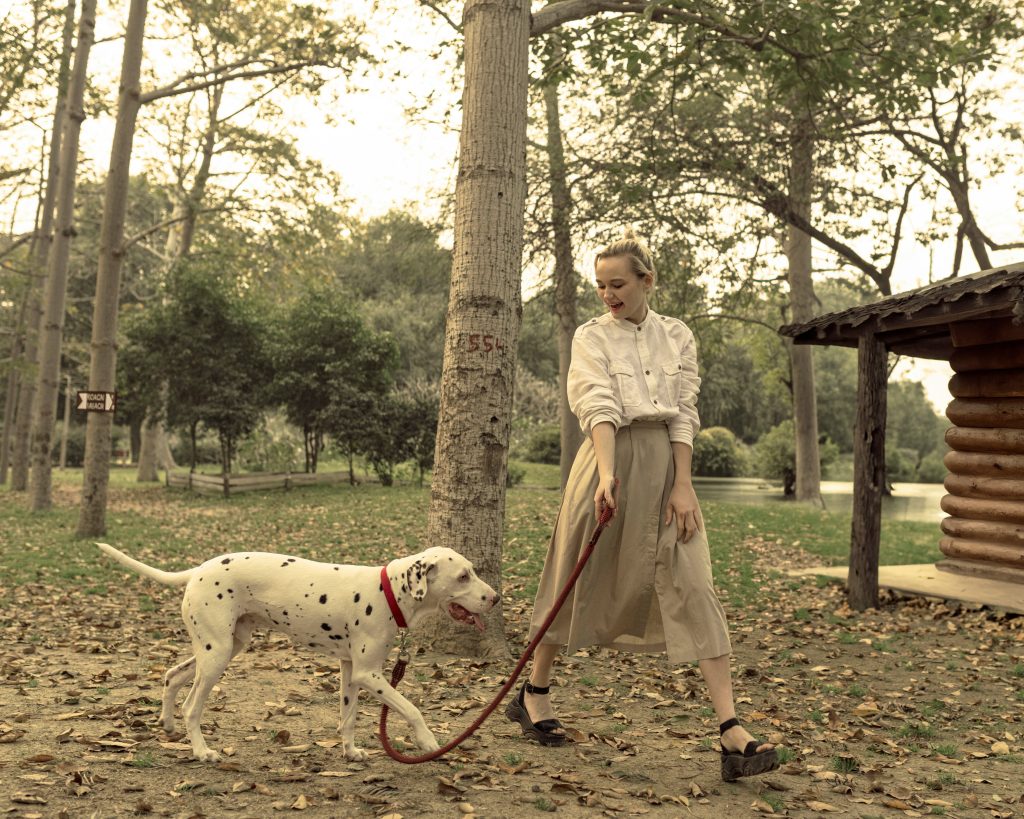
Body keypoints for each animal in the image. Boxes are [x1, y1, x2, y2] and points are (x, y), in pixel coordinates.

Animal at [97, 544, 497, 761]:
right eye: (463, 576)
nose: (495, 598)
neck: (387, 592)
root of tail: (197, 570)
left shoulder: (350, 671)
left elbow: (348, 717)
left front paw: (349, 752)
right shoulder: (369, 673)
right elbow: (411, 708)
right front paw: (427, 741)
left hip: (222, 647)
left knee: (172, 676)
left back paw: (166, 723)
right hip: (216, 656)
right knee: (191, 706)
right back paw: (201, 751)